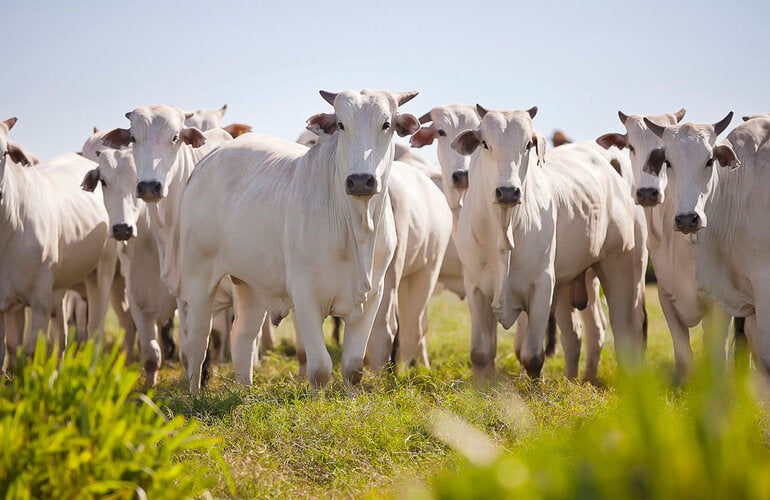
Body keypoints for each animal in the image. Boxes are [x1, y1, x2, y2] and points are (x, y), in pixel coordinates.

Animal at [0, 117, 117, 369]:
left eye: (4, 152)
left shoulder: (39, 301)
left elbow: (32, 351)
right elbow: (9, 349)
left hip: (101, 272)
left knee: (94, 330)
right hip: (60, 288)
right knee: (62, 335)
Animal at [175, 89, 419, 392]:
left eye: (386, 124)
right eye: (341, 125)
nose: (361, 180)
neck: (357, 228)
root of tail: (208, 160)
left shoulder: (373, 295)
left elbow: (352, 368)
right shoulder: (305, 295)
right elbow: (320, 369)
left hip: (250, 284)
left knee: (242, 337)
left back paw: (246, 391)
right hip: (198, 277)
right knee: (197, 341)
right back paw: (194, 392)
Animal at [451, 106, 647, 380]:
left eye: (527, 145)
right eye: (485, 143)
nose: (508, 191)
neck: (503, 229)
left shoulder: (543, 285)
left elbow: (532, 356)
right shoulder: (475, 286)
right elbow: (480, 354)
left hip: (622, 268)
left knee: (625, 330)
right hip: (573, 280)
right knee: (579, 334)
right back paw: (578, 379)